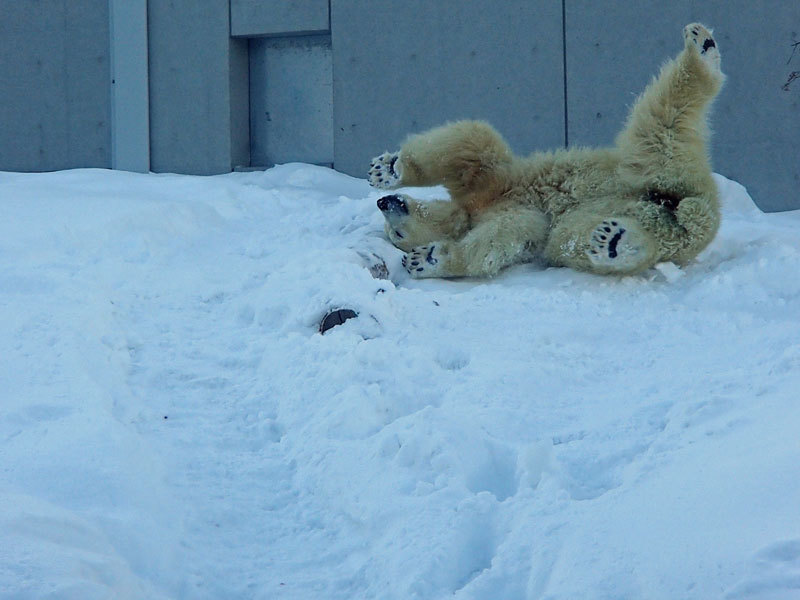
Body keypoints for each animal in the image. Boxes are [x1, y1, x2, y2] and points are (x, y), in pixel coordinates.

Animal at [368, 22, 724, 276]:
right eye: (396, 235)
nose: (384, 203)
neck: (474, 208)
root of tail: (697, 210)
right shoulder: (510, 215)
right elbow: (509, 233)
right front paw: (426, 258)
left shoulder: (491, 181)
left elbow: (472, 145)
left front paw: (387, 169)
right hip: (653, 207)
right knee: (575, 237)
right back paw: (615, 242)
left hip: (641, 167)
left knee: (661, 117)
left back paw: (701, 47)